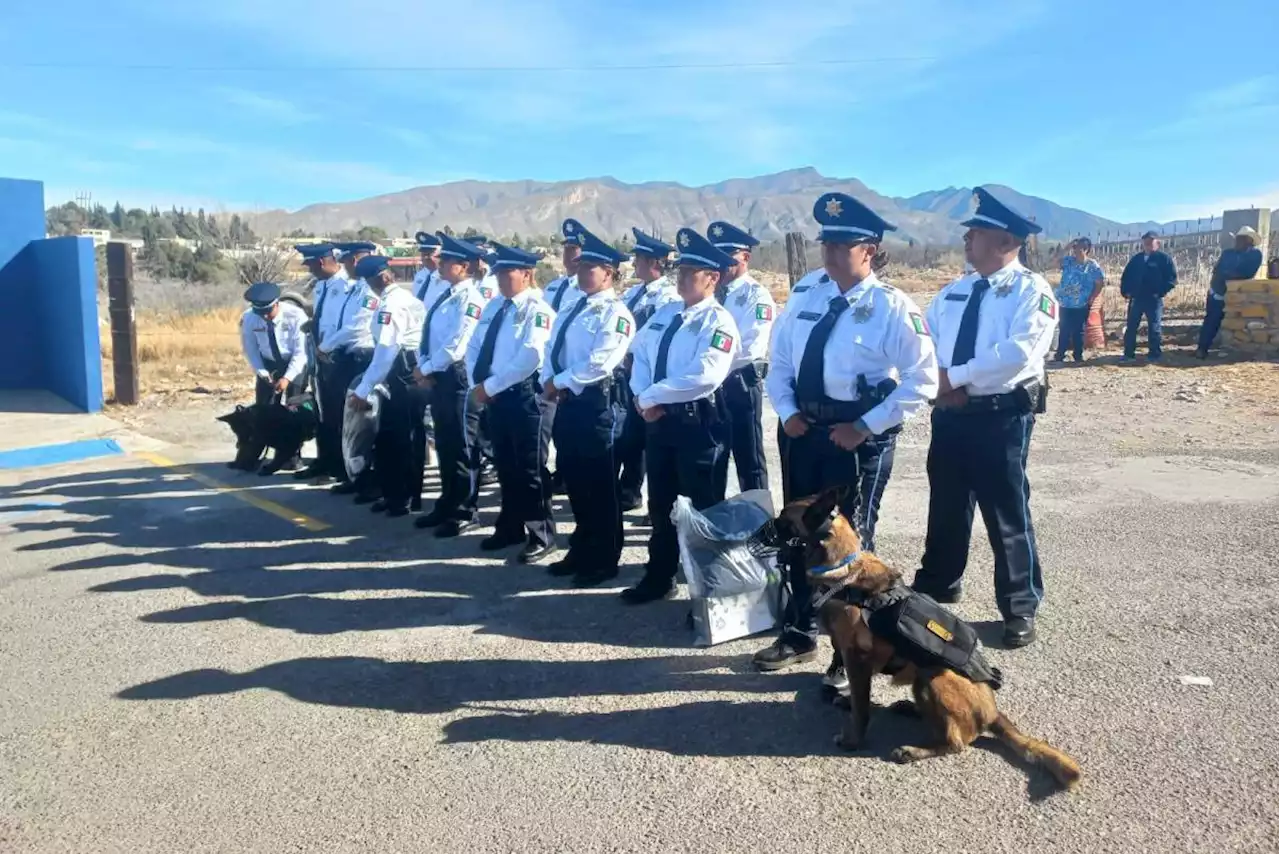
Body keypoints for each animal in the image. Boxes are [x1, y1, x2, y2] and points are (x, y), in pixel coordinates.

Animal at [778, 483, 1080, 793]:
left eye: (782, 520)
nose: (766, 526)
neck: (842, 569)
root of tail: (993, 712)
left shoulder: (857, 658)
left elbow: (862, 710)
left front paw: (853, 739)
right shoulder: (854, 660)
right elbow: (859, 696)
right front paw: (848, 701)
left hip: (933, 677)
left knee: (957, 742)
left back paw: (914, 750)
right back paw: (910, 709)